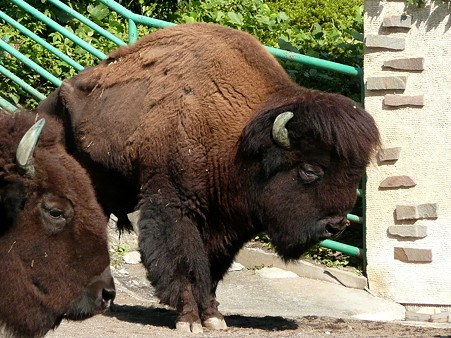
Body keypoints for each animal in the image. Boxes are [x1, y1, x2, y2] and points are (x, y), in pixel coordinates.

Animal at [37, 23, 380, 332]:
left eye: (355, 173)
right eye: (309, 170)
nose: (336, 225)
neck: (241, 138)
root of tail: (49, 101)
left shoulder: (227, 222)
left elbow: (213, 269)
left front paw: (214, 317)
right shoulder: (176, 209)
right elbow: (186, 263)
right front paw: (189, 320)